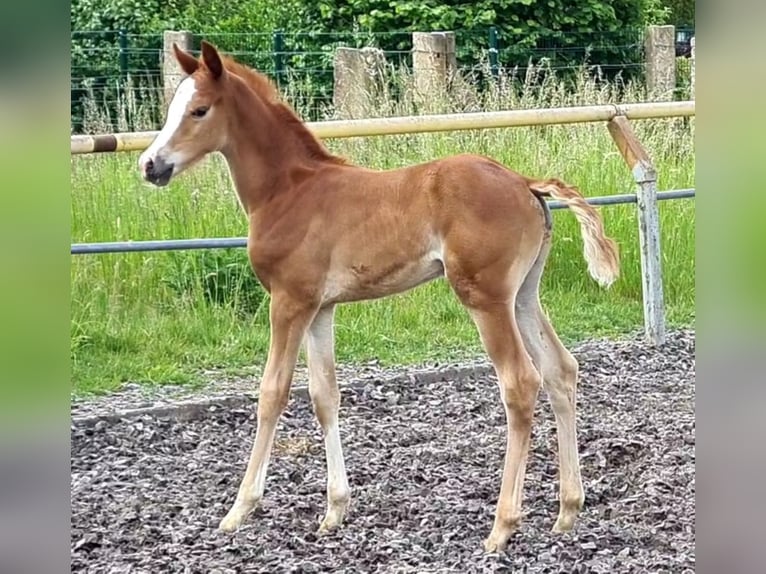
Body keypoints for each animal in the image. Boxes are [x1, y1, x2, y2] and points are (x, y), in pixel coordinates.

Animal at [136, 40, 616, 552]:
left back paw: (502, 526)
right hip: (523, 295)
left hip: (485, 297)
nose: (150, 164)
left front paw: (239, 510)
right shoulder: (320, 308)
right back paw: (567, 511)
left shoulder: (288, 301)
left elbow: (272, 393)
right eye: (172, 108)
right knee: (560, 370)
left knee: (521, 382)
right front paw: (333, 511)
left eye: (199, 110)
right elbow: (324, 394)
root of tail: (524, 182)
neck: (288, 191)